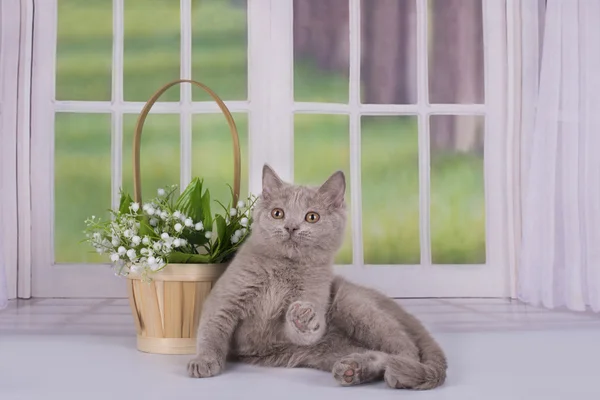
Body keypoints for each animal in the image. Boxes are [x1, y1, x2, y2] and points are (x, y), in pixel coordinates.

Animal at [188, 164, 446, 390]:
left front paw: (303, 317)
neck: (283, 269)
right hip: (327, 350)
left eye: (312, 217)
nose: (291, 227)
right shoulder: (226, 298)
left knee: (406, 350)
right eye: (278, 213)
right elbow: (212, 330)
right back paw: (353, 369)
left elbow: (299, 329)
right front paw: (204, 361)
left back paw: (389, 372)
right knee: (381, 353)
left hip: (354, 306)